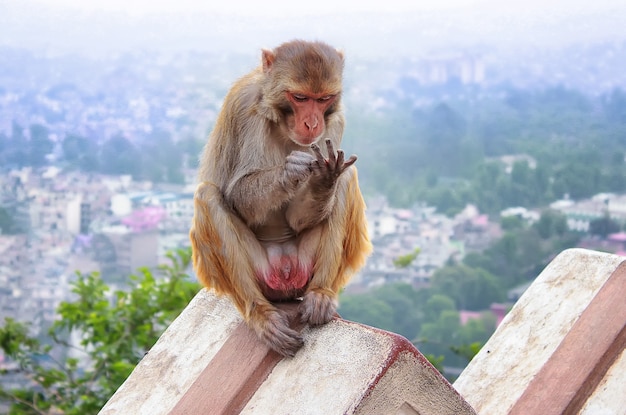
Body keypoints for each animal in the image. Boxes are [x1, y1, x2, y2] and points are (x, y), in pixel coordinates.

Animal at [188, 39, 368, 358]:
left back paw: (320, 295)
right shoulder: (244, 108)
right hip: (259, 275)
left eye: (323, 99)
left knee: (347, 179)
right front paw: (290, 170)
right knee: (208, 195)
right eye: (300, 97)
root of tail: (285, 272)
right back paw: (260, 314)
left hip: (305, 266)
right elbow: (237, 196)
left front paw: (324, 178)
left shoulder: (335, 123)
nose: (312, 123)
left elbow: (300, 216)